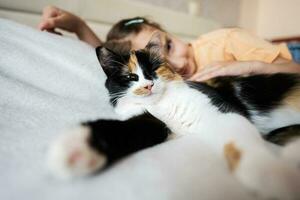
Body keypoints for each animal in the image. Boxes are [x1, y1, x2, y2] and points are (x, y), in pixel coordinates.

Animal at [47, 32, 300, 197]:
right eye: (130, 77)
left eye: (154, 69)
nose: (148, 85)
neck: (163, 106)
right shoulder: (154, 123)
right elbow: (132, 128)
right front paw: (77, 148)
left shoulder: (225, 113)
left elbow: (242, 147)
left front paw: (275, 177)